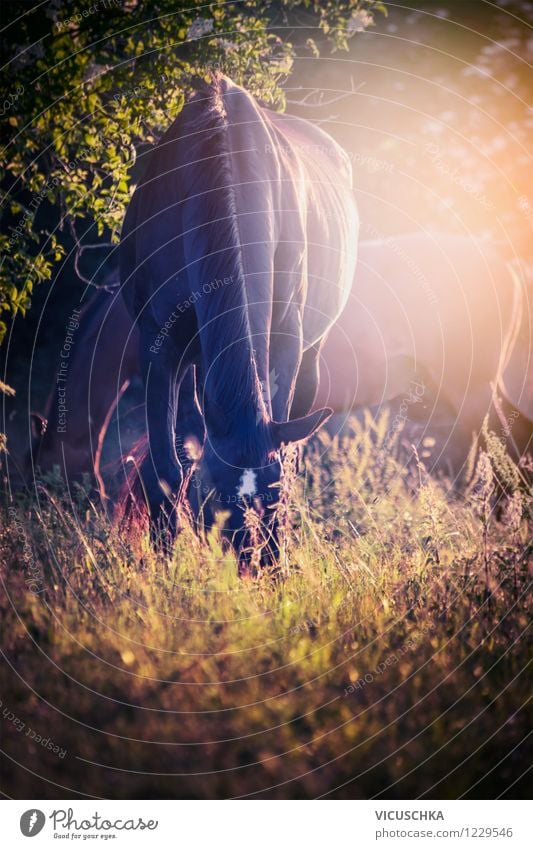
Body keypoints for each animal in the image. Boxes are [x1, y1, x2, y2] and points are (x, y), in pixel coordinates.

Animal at [117, 76, 358, 552]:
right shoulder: (159, 344)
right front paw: (166, 554)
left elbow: (284, 453)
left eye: (273, 496)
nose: (250, 559)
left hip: (311, 355)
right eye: (214, 498)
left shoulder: (285, 339)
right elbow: (166, 468)